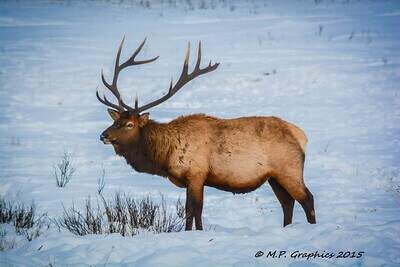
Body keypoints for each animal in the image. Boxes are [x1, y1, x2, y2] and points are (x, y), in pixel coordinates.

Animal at [97, 37, 316, 230]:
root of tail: (301, 135)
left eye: (129, 125)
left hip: (289, 168)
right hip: (274, 176)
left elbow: (192, 210)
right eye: (115, 121)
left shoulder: (196, 173)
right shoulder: (194, 179)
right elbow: (194, 211)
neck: (165, 156)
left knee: (307, 198)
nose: (103, 135)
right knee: (287, 203)